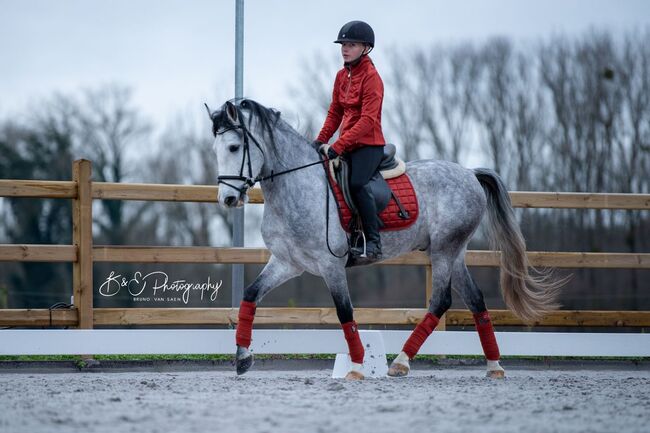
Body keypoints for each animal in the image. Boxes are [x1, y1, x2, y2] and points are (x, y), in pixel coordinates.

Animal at [206, 98, 556, 378]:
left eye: (234, 148)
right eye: (215, 150)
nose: (227, 199)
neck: (297, 186)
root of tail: (470, 173)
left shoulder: (331, 266)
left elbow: (345, 314)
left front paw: (357, 367)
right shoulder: (287, 263)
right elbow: (250, 295)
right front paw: (242, 358)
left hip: (445, 250)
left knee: (441, 301)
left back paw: (401, 362)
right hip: (454, 252)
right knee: (475, 300)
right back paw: (494, 366)